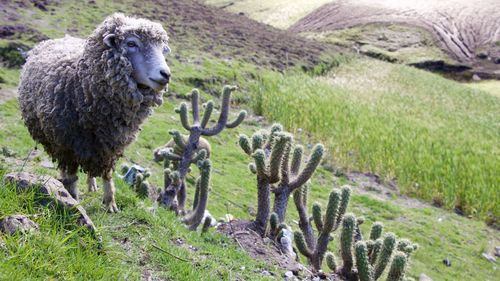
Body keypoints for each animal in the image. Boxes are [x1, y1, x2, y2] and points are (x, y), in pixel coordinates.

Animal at [18, 12, 172, 210]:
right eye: (131, 43)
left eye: (163, 49)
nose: (165, 74)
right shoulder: (67, 142)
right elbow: (72, 174)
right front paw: (73, 198)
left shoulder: (110, 144)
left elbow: (107, 174)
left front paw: (110, 202)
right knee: (64, 167)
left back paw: (92, 185)